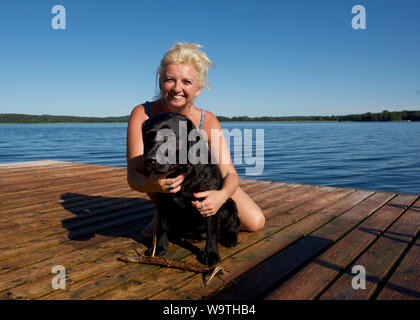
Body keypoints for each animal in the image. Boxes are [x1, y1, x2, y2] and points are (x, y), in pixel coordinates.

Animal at [143, 111, 240, 266]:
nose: (150, 160)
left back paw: (230, 237)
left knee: (235, 224)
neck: (182, 173)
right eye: (147, 137)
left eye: (169, 137)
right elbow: (162, 226)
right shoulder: (163, 202)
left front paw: (211, 253)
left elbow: (211, 231)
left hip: (230, 203)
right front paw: (159, 247)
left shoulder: (209, 201)